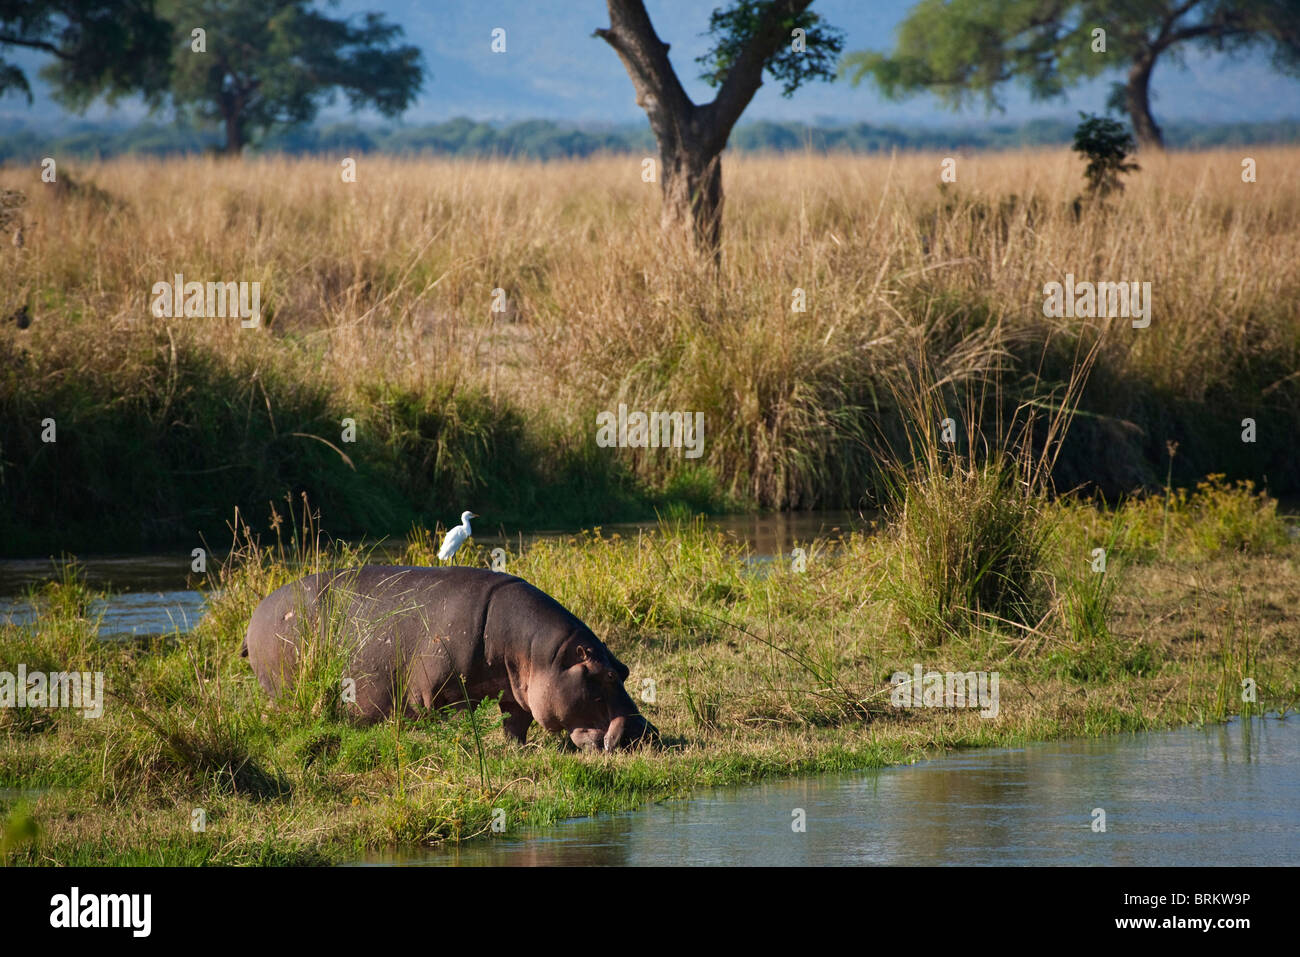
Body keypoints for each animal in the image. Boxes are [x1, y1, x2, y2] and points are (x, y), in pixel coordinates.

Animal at [239, 564, 655, 748]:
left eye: (624, 669)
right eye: (601, 675)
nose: (644, 731)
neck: (542, 655)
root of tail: (256, 611)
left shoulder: (517, 689)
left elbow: (515, 721)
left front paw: (516, 750)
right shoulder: (443, 691)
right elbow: (456, 720)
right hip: (285, 688)